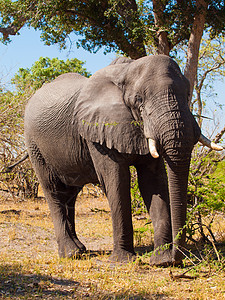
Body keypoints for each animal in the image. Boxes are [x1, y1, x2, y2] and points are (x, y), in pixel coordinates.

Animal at [23, 55, 222, 266]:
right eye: (139, 100)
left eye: (187, 94)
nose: (176, 259)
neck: (125, 71)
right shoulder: (97, 130)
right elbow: (116, 181)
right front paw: (123, 260)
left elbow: (153, 183)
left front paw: (161, 260)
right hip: (35, 145)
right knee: (53, 190)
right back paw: (71, 254)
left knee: (71, 194)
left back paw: (81, 249)